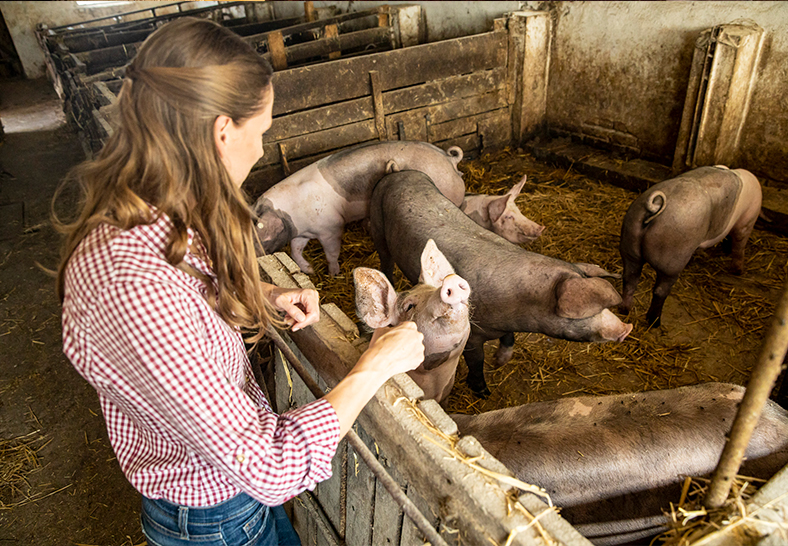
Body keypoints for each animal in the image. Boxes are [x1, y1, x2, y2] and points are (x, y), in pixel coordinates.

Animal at [252, 140, 464, 276]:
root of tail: (449, 159)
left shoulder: (331, 227)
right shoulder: (303, 232)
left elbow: (331, 253)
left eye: (260, 237)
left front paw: (333, 274)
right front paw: (310, 270)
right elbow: (295, 250)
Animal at [370, 169, 636, 396]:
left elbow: (510, 337)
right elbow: (476, 361)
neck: (517, 306)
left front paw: (501, 361)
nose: (627, 328)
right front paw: (483, 392)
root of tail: (398, 173)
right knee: (385, 259)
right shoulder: (472, 334)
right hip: (378, 229)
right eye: (590, 311)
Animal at [620, 164, 760, 326]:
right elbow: (739, 245)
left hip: (630, 243)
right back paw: (655, 322)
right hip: (671, 260)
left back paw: (625, 310)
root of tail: (655, 208)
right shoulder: (746, 222)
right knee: (659, 291)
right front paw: (739, 272)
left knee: (629, 279)